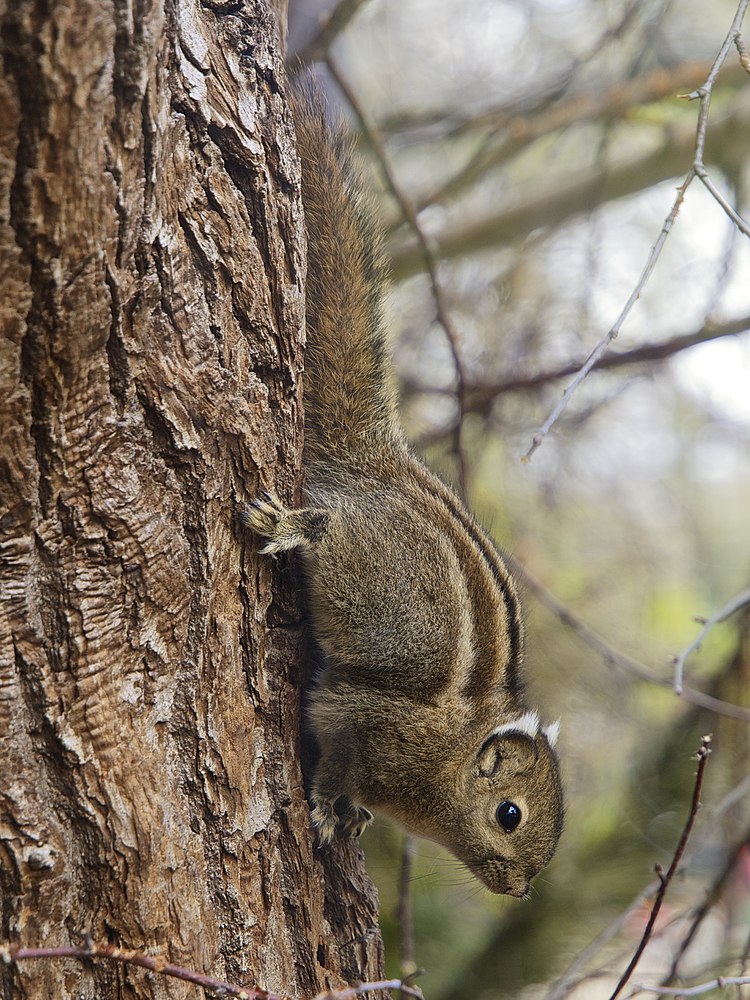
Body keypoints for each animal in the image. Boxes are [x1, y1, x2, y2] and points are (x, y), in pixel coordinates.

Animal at [242, 88, 564, 900]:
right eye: (509, 815)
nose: (519, 890)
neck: (450, 754)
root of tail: (375, 467)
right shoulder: (367, 726)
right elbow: (338, 761)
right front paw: (330, 808)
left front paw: (349, 813)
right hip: (364, 562)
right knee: (327, 528)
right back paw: (292, 526)